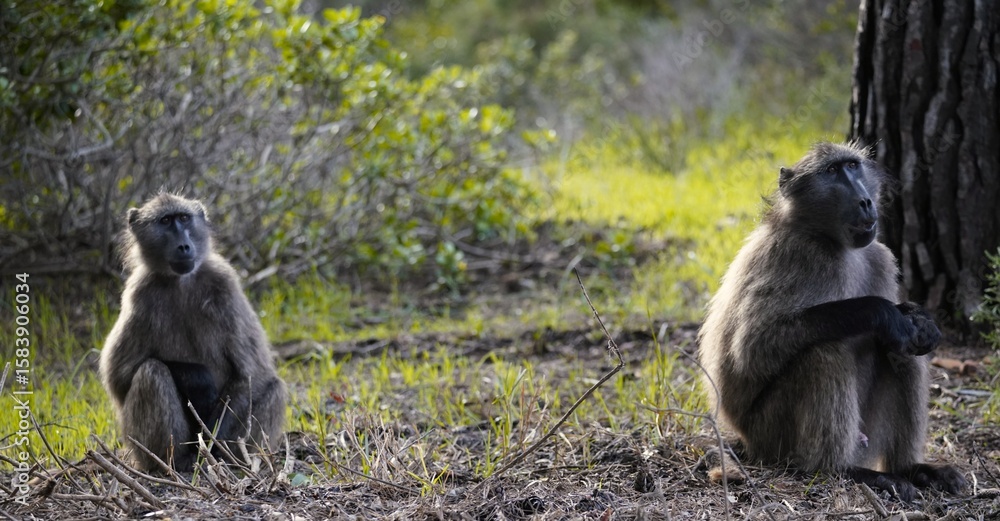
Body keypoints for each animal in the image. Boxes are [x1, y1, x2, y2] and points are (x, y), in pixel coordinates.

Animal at [100, 193, 287, 472]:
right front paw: (198, 381)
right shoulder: (139, 293)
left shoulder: (226, 285)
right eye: (166, 221)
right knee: (152, 372)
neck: (181, 282)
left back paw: (230, 459)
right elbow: (118, 377)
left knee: (275, 386)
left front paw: (212, 443)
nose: (184, 247)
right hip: (139, 447)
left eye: (184, 218)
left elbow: (252, 372)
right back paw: (175, 462)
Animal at [697, 142, 965, 501]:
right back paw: (846, 471)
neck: (829, 239)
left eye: (852, 166)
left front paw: (920, 320)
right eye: (832, 172)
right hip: (772, 435)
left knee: (903, 352)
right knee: (824, 352)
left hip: (866, 435)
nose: (864, 200)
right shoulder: (794, 255)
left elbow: (906, 336)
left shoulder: (879, 256)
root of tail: (747, 441)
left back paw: (911, 469)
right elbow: (751, 349)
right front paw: (883, 314)